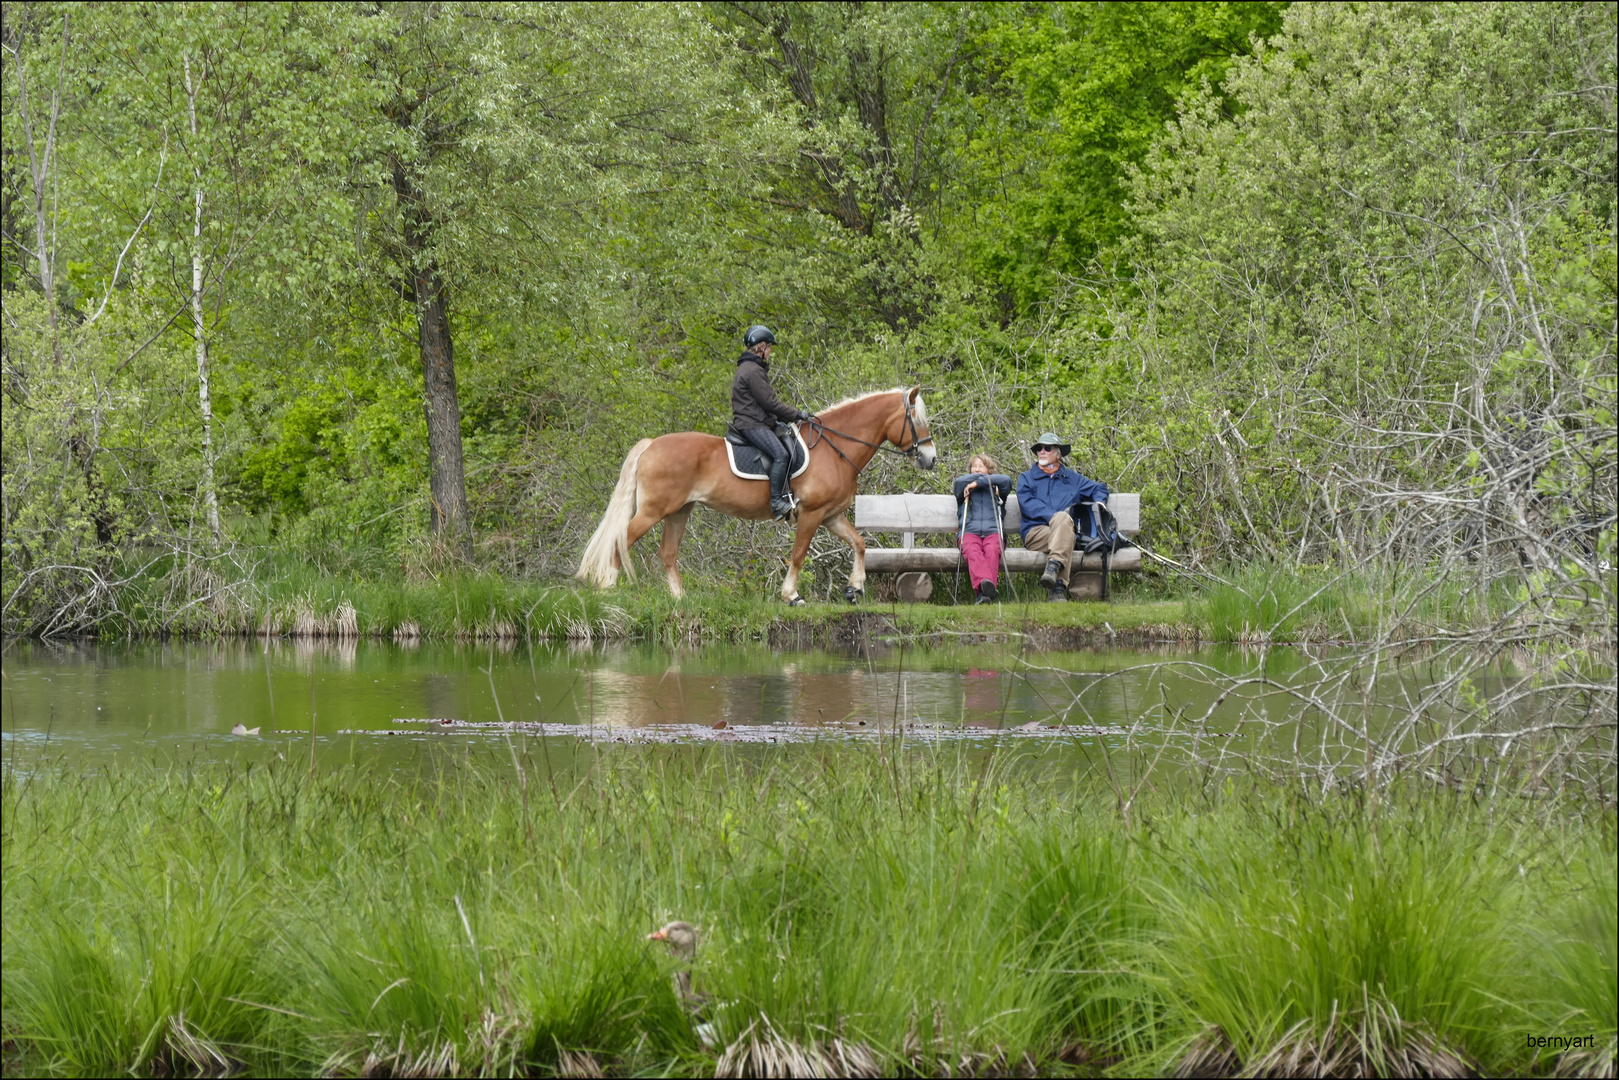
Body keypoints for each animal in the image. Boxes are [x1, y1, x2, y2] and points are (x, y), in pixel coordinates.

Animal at [579, 386, 939, 608]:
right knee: (620, 540)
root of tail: (652, 444)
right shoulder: (812, 513)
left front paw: (855, 588)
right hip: (654, 510)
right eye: (916, 420)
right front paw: (791, 595)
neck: (835, 448)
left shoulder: (831, 515)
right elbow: (799, 555)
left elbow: (859, 543)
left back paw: (680, 599)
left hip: (680, 510)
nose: (931, 458)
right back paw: (607, 588)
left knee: (667, 552)